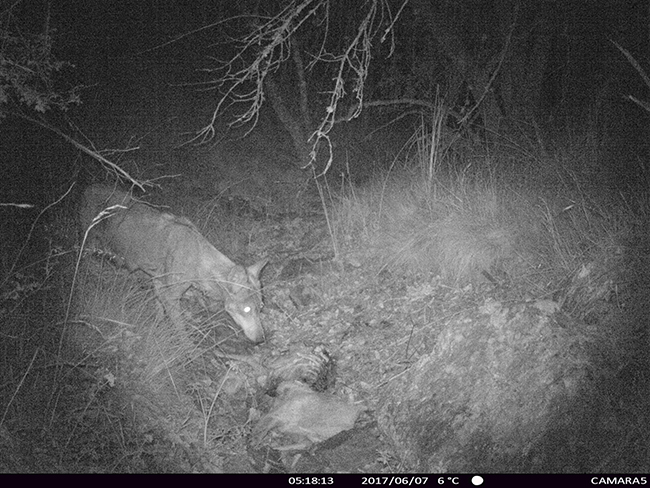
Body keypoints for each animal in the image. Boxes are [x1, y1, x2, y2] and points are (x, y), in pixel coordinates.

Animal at [79, 184, 268, 344]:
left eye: (260, 307)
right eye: (246, 310)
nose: (261, 340)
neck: (198, 262)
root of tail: (89, 187)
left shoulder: (158, 281)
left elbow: (158, 310)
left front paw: (157, 327)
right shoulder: (171, 297)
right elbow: (182, 331)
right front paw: (189, 353)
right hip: (88, 244)